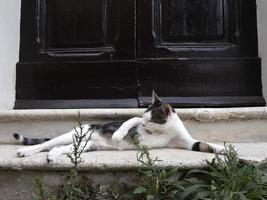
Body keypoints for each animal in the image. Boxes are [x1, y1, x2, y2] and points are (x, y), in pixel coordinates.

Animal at [13, 91, 225, 163]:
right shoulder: (135, 120)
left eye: (152, 121)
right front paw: (118, 135)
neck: (165, 131)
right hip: (71, 136)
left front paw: (225, 150)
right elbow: (130, 120)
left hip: (83, 146)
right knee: (44, 144)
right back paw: (27, 152)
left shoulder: (186, 141)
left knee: (58, 148)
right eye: (145, 120)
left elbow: (203, 145)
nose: (145, 126)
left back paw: (52, 156)